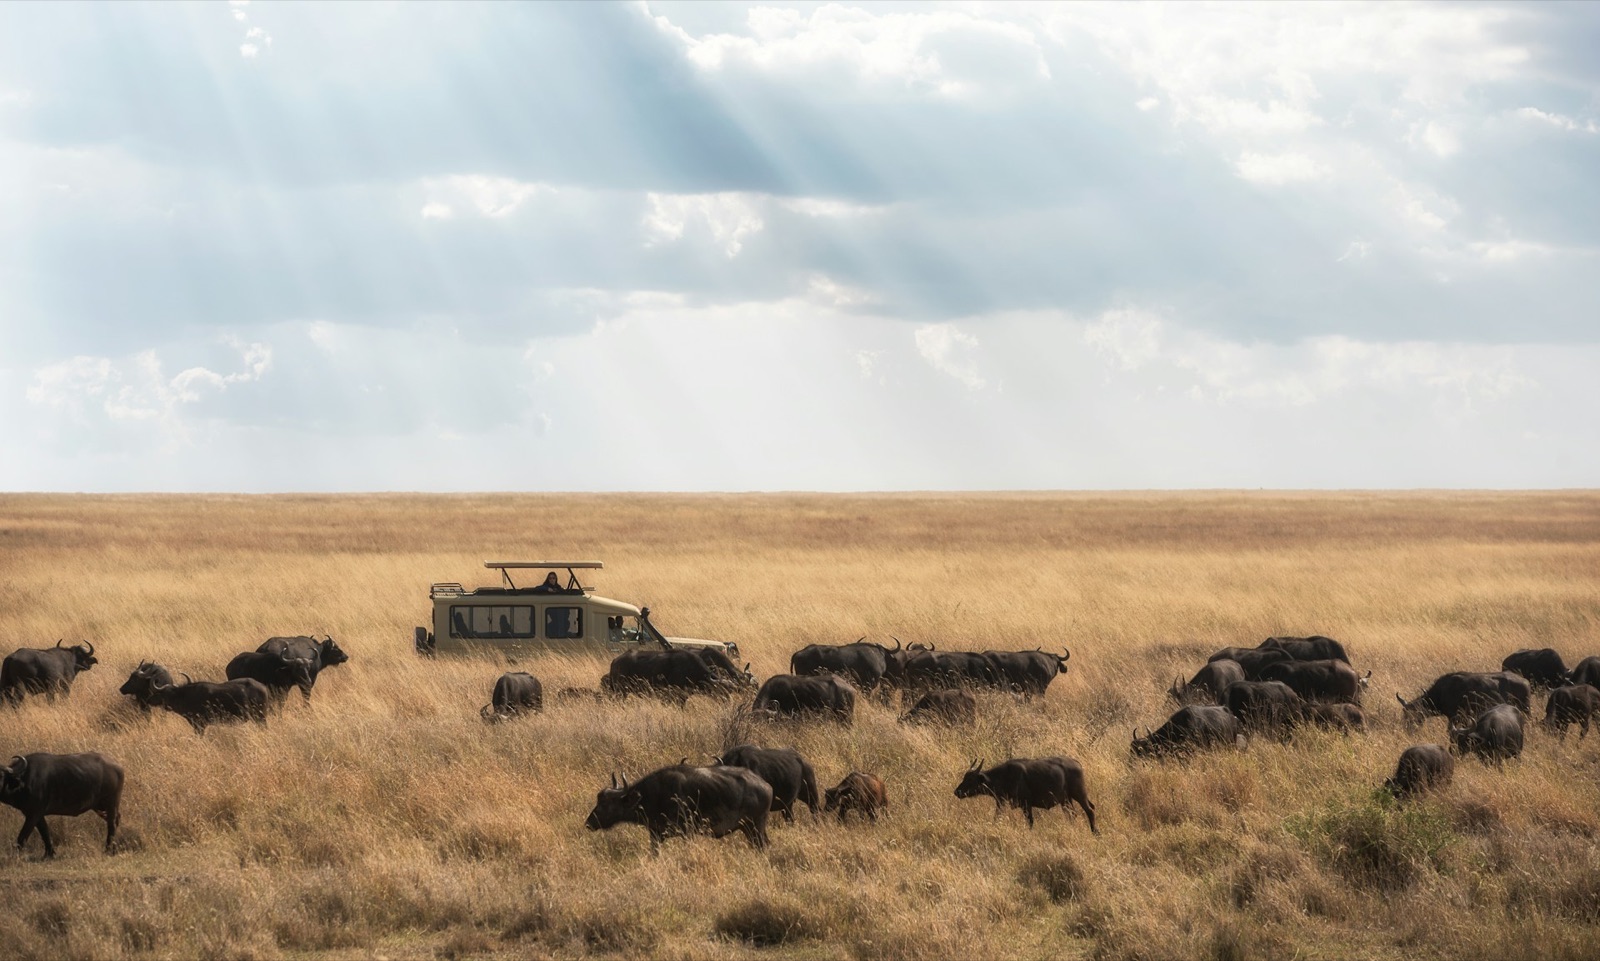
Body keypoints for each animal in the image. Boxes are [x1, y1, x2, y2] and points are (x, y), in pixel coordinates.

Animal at [584, 764, 772, 853]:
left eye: (605, 804)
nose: (589, 823)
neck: (654, 795)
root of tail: (766, 786)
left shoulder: (687, 832)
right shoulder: (656, 835)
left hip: (755, 827)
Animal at [954, 757, 1096, 832]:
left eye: (970, 780)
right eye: (964, 778)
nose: (957, 792)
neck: (1005, 776)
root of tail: (1076, 763)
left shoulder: (1026, 804)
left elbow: (1030, 821)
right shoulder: (1001, 803)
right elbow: (996, 818)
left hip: (1079, 794)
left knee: (1090, 810)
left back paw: (1095, 832)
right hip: (1066, 800)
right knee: (1072, 814)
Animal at [1397, 672, 1532, 729]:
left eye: (1417, 714)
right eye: (1405, 715)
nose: (1409, 729)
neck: (1442, 692)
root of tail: (1525, 681)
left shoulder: (1455, 717)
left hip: (1526, 709)